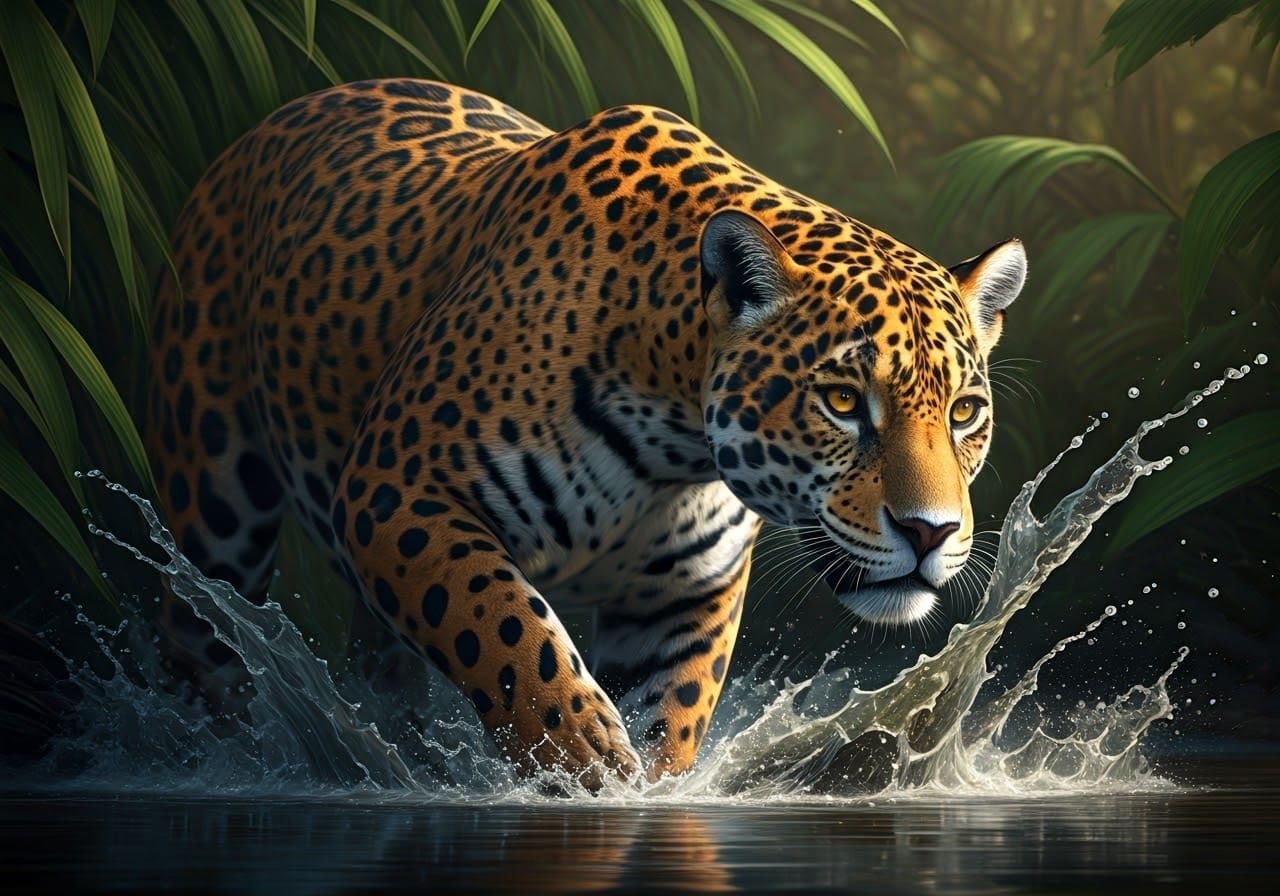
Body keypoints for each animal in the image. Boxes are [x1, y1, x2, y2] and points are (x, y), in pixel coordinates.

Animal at [146, 78, 1026, 790]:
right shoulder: (396, 491)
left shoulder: (684, 591)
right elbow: (503, 627)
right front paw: (582, 759)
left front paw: (645, 786)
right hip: (215, 501)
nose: (930, 532)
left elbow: (670, 712)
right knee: (199, 638)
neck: (672, 440)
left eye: (963, 413)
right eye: (842, 400)